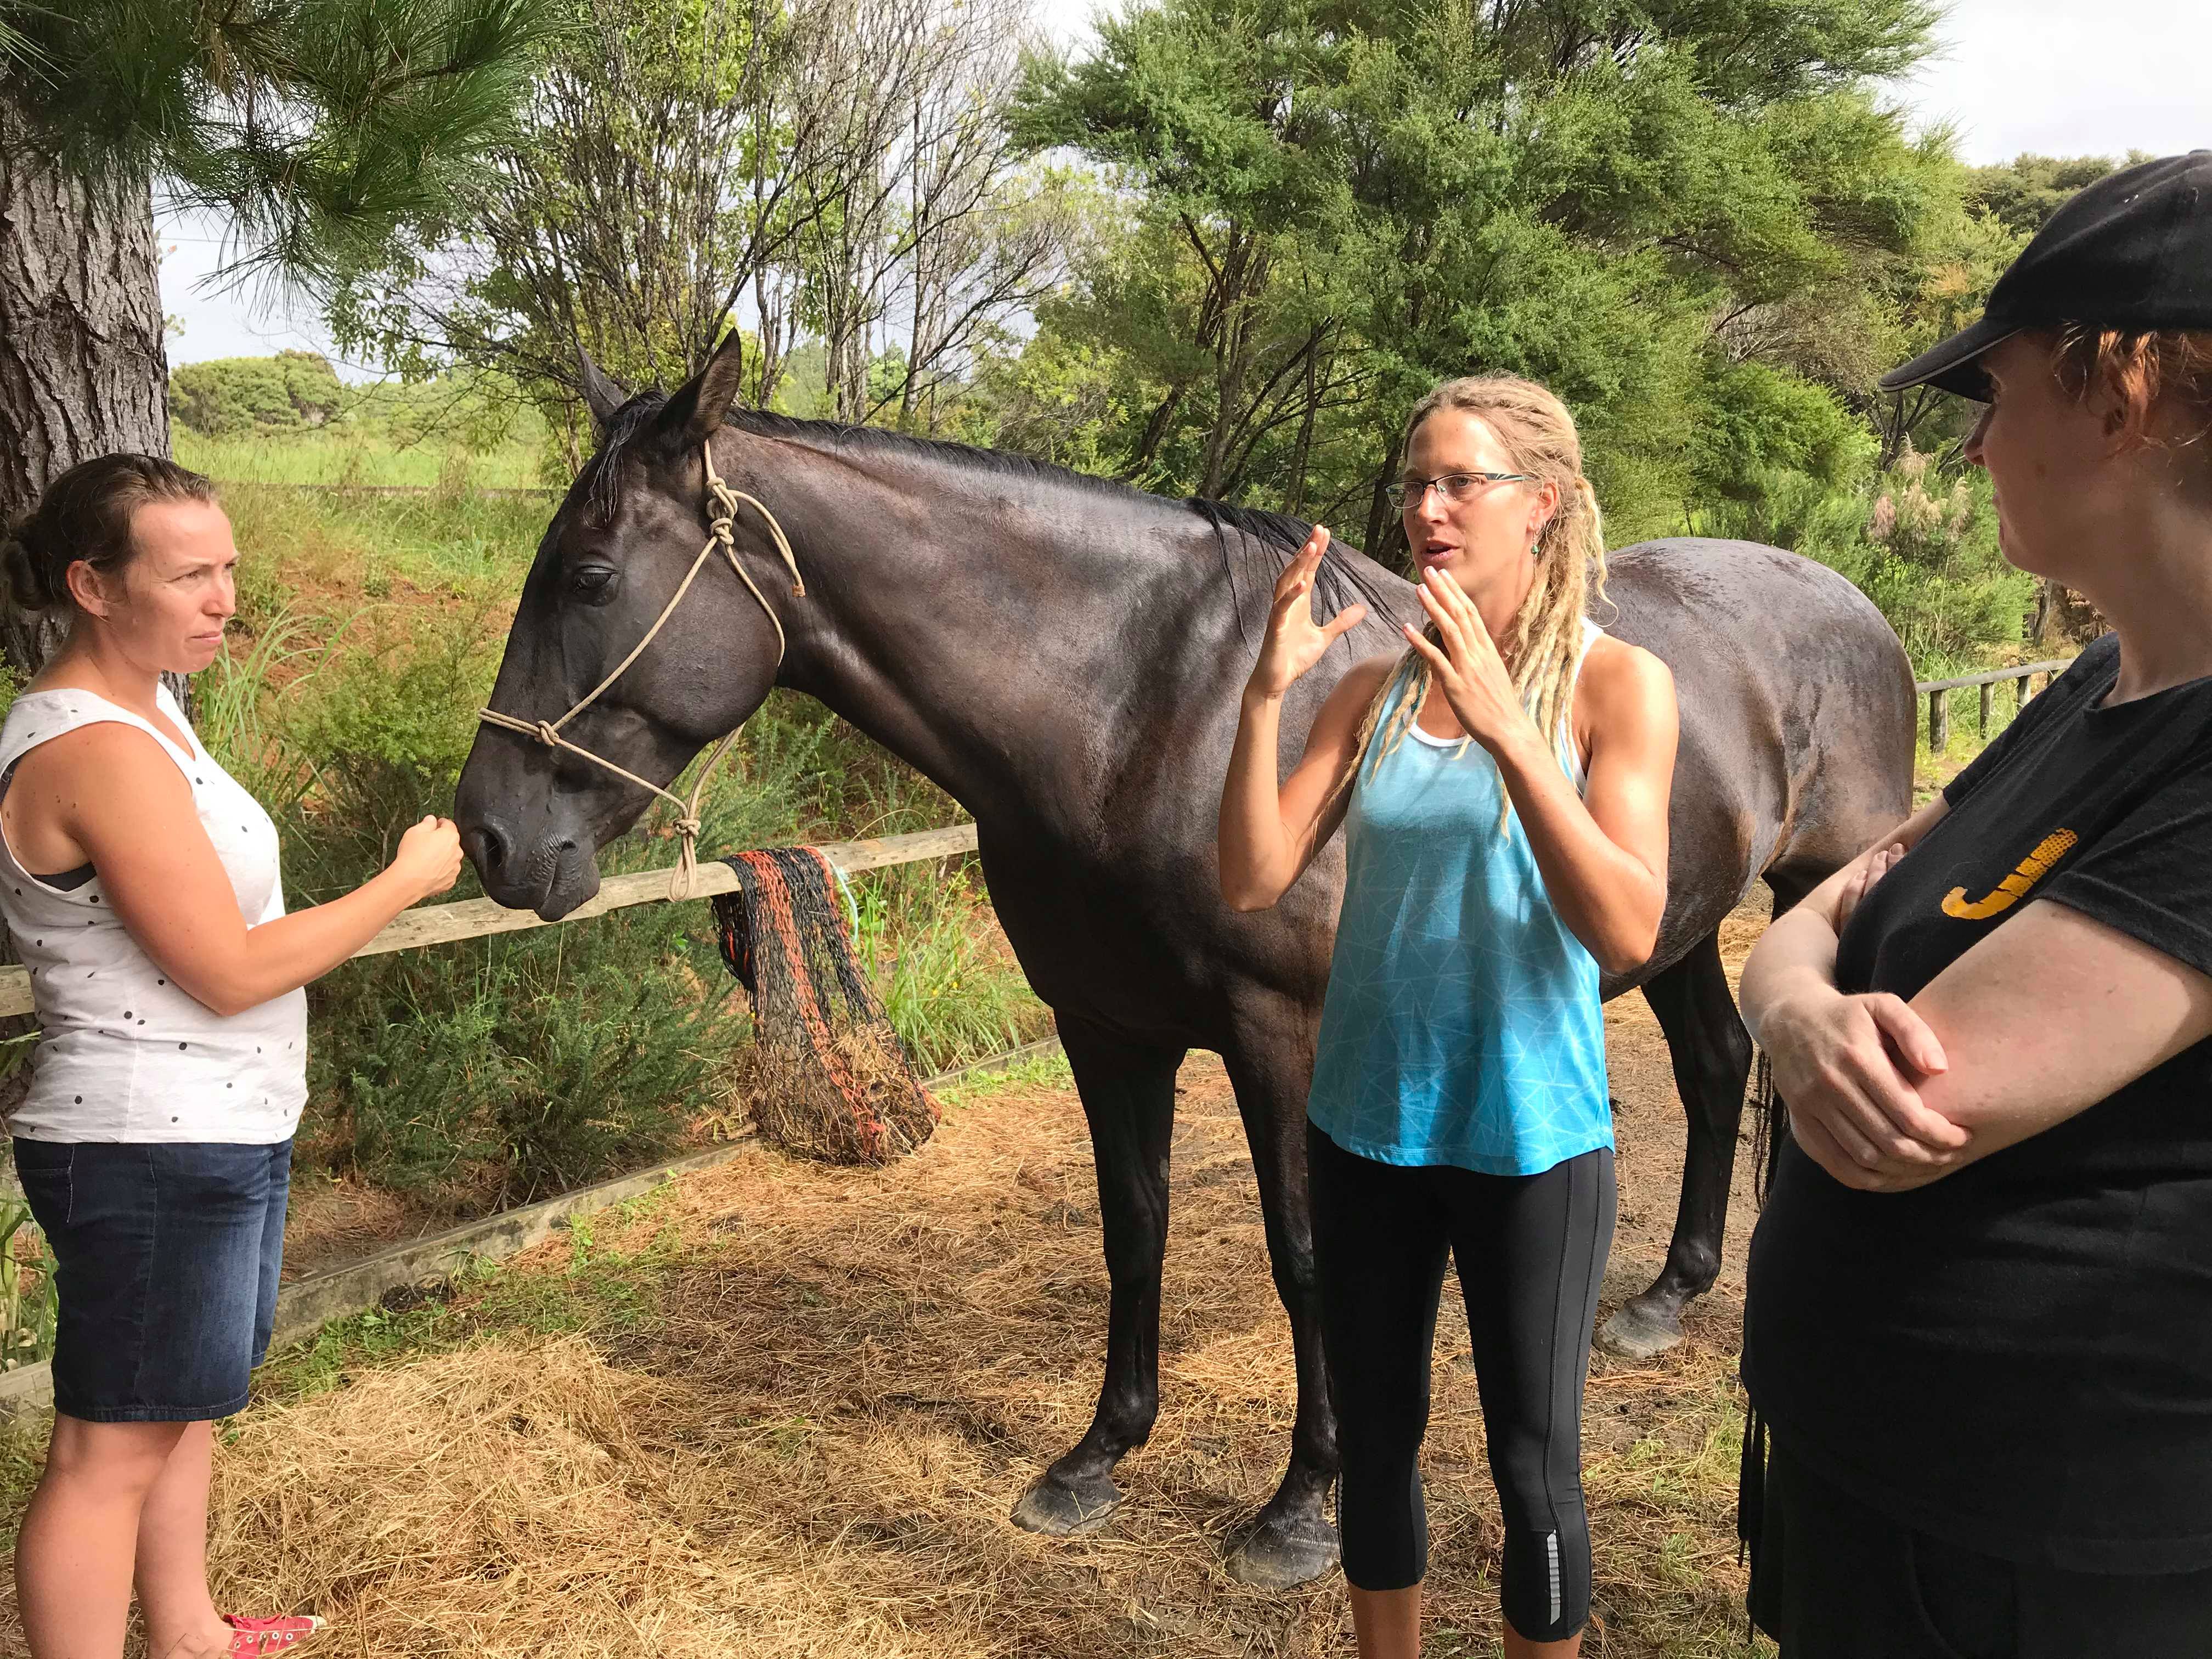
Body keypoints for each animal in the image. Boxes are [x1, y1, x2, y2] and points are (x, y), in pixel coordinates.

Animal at [453, 336, 1915, 1588]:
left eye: (589, 577)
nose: (490, 836)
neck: (1144, 707)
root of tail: (1853, 605)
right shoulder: (1108, 1029)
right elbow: (1135, 1229)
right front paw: (1098, 1455)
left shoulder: (1283, 1037)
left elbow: (1304, 1256)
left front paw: (1302, 1505)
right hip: (1678, 925)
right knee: (1717, 1066)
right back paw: (1665, 1297)